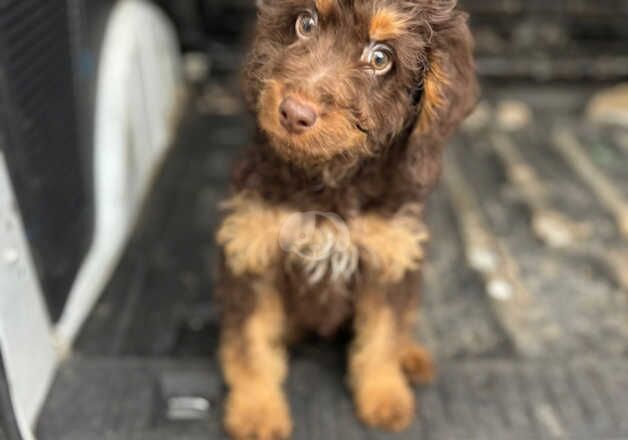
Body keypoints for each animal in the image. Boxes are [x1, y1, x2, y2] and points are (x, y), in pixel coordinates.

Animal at [215, 1, 476, 438]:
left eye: (380, 58)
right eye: (306, 23)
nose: (294, 113)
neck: (329, 179)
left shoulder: (389, 256)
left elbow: (384, 332)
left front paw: (384, 394)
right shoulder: (253, 252)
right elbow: (251, 340)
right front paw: (257, 409)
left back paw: (410, 356)